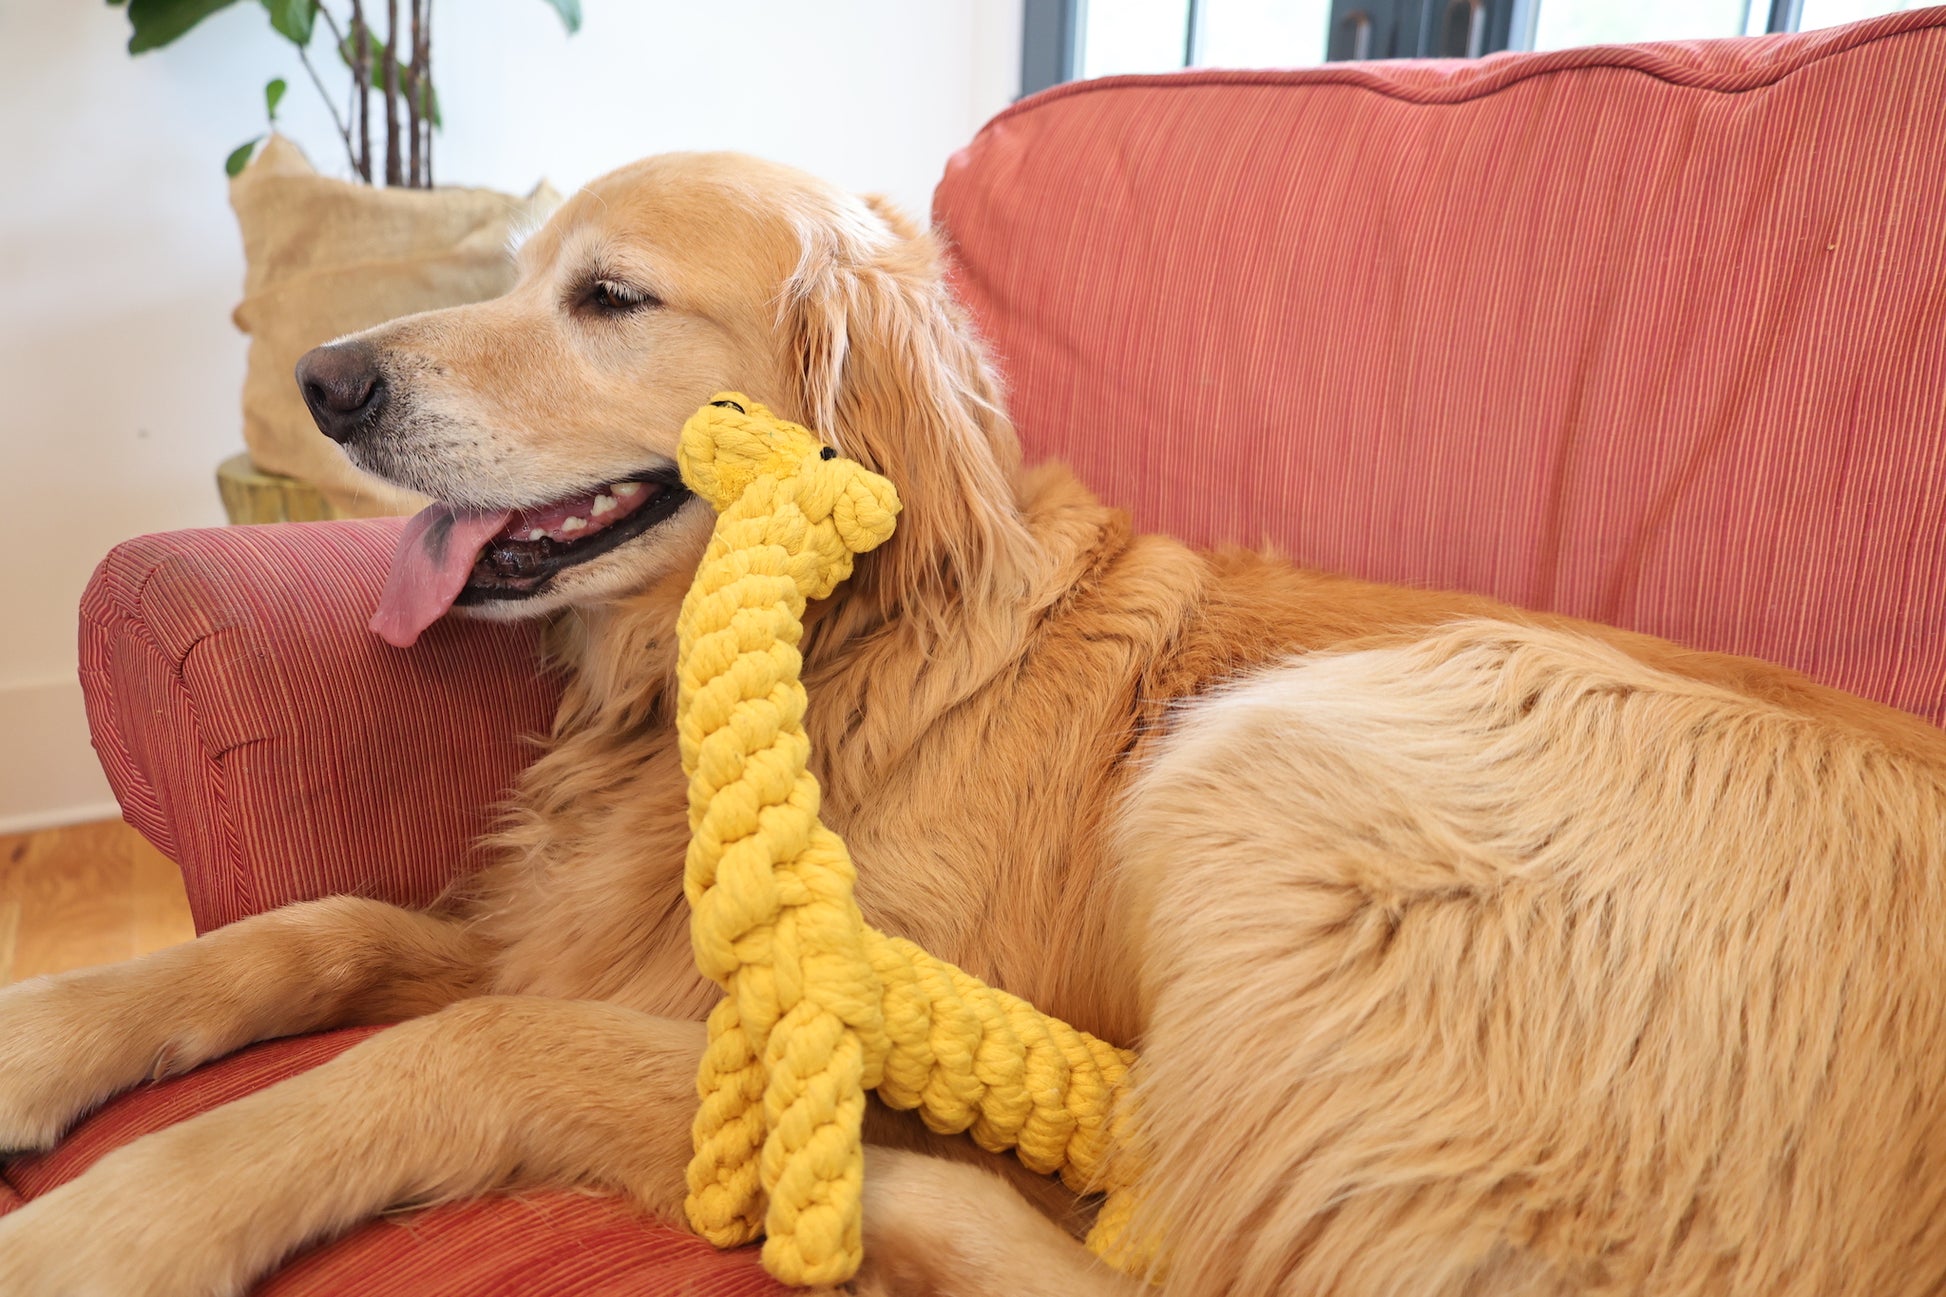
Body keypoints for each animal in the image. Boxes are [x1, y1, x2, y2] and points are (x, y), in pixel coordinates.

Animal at [3, 153, 1946, 1293]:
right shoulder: (547, 928)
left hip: (1291, 753)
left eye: (607, 297)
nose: (324, 379)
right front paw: (46, 1035)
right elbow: (306, 928)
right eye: (508, 267)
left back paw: (918, 1204)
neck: (849, 652)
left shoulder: (723, 1009)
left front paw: (127, 1216)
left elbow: (462, 1047)